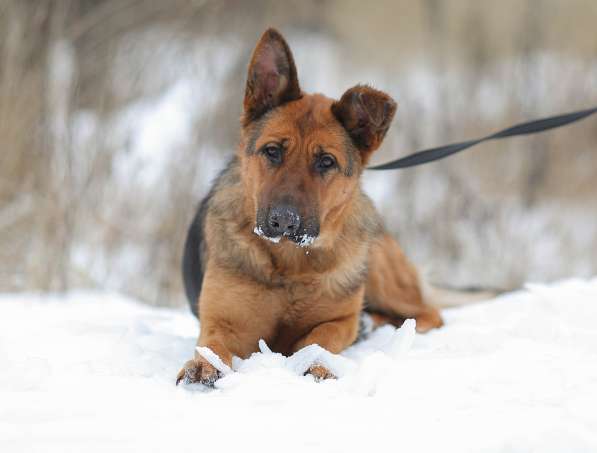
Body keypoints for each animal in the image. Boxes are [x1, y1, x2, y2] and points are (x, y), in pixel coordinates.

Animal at [175, 27, 444, 382]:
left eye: (326, 161)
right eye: (272, 151)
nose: (284, 221)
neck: (292, 264)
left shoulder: (338, 320)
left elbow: (319, 337)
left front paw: (317, 362)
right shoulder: (224, 320)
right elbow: (213, 344)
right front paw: (205, 365)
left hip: (378, 268)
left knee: (427, 313)